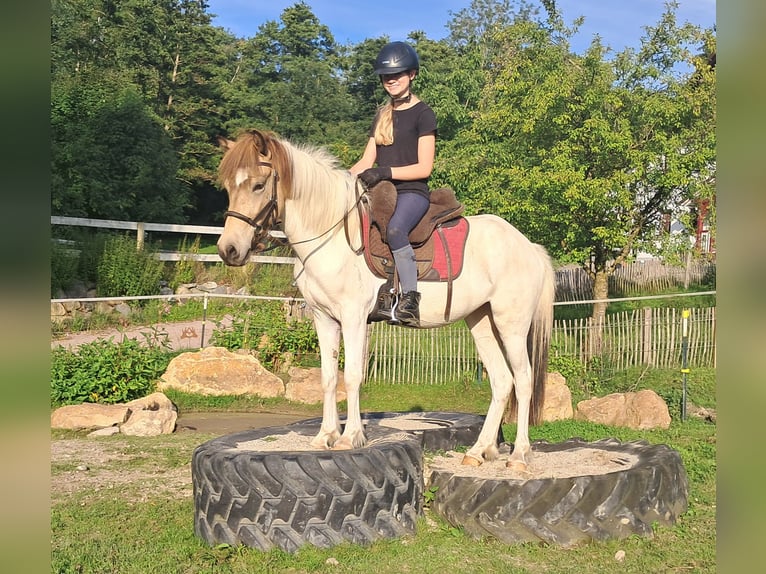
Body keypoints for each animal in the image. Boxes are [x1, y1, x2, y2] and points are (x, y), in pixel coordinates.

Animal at [215, 129, 555, 472]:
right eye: (228, 186)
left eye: (258, 185)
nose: (228, 250)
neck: (331, 236)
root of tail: (529, 246)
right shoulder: (323, 319)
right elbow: (328, 378)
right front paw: (325, 436)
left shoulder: (353, 318)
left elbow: (352, 376)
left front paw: (350, 437)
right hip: (482, 322)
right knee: (502, 381)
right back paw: (478, 451)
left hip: (511, 325)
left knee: (523, 380)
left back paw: (519, 456)